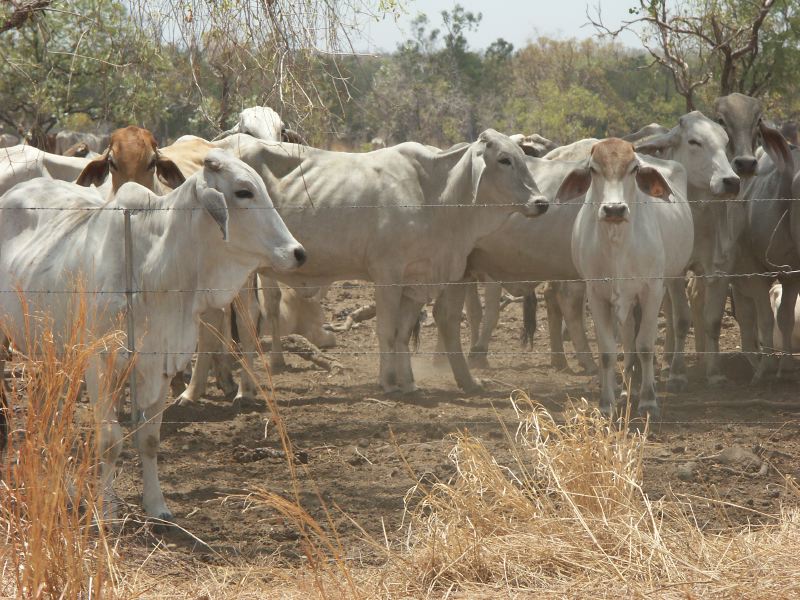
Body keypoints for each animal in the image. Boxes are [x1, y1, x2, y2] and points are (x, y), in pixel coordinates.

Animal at [0, 149, 306, 520]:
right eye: (243, 191)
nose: (298, 252)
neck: (156, 268)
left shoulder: (163, 362)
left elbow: (149, 439)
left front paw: (156, 506)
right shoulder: (100, 363)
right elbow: (109, 440)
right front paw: (107, 511)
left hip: (51, 349)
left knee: (51, 416)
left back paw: (64, 488)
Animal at [558, 138, 693, 417]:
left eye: (634, 169)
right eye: (593, 169)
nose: (614, 209)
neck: (617, 242)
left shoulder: (652, 290)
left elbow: (645, 345)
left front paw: (649, 400)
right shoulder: (596, 295)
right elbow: (609, 351)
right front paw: (607, 403)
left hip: (674, 277)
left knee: (678, 321)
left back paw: (672, 376)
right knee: (629, 335)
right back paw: (628, 388)